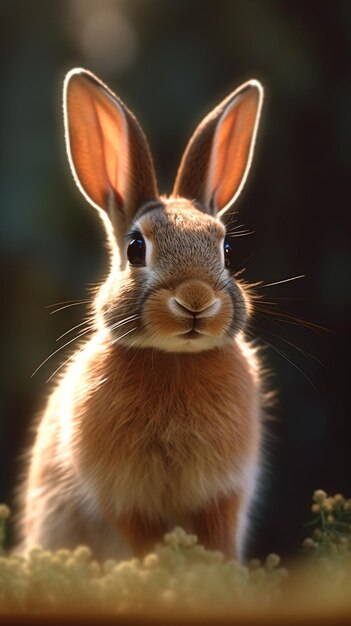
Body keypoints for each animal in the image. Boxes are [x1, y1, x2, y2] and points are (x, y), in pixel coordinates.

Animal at [18, 68, 264, 560]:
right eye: (135, 248)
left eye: (227, 250)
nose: (195, 299)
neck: (174, 360)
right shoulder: (125, 502)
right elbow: (146, 540)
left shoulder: (223, 495)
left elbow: (219, 541)